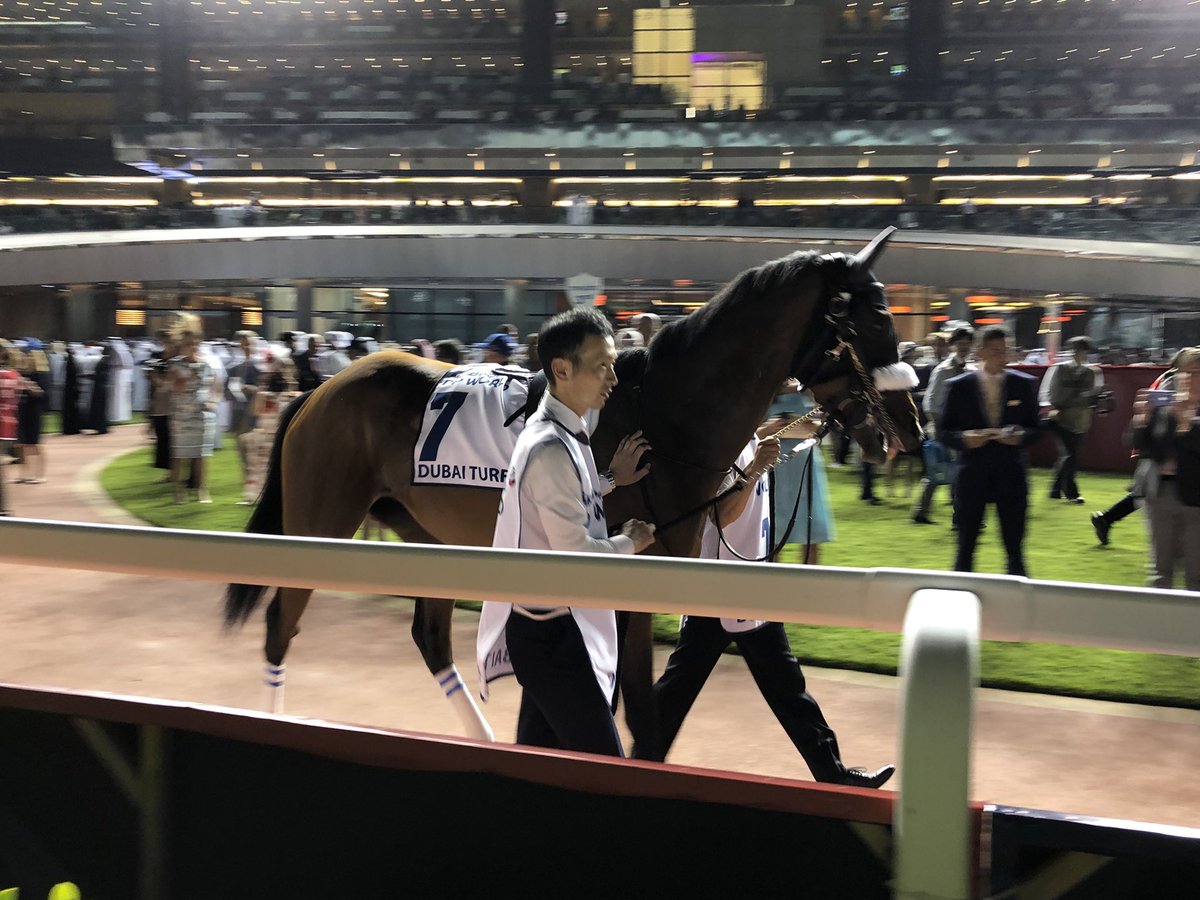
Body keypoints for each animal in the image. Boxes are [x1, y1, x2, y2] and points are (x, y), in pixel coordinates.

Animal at [224, 227, 924, 751]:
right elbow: (636, 706)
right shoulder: (633, 573)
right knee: (281, 625)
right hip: (320, 523)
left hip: (428, 535)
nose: (910, 430)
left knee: (430, 638)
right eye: (869, 323)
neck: (664, 414)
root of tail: (319, 389)